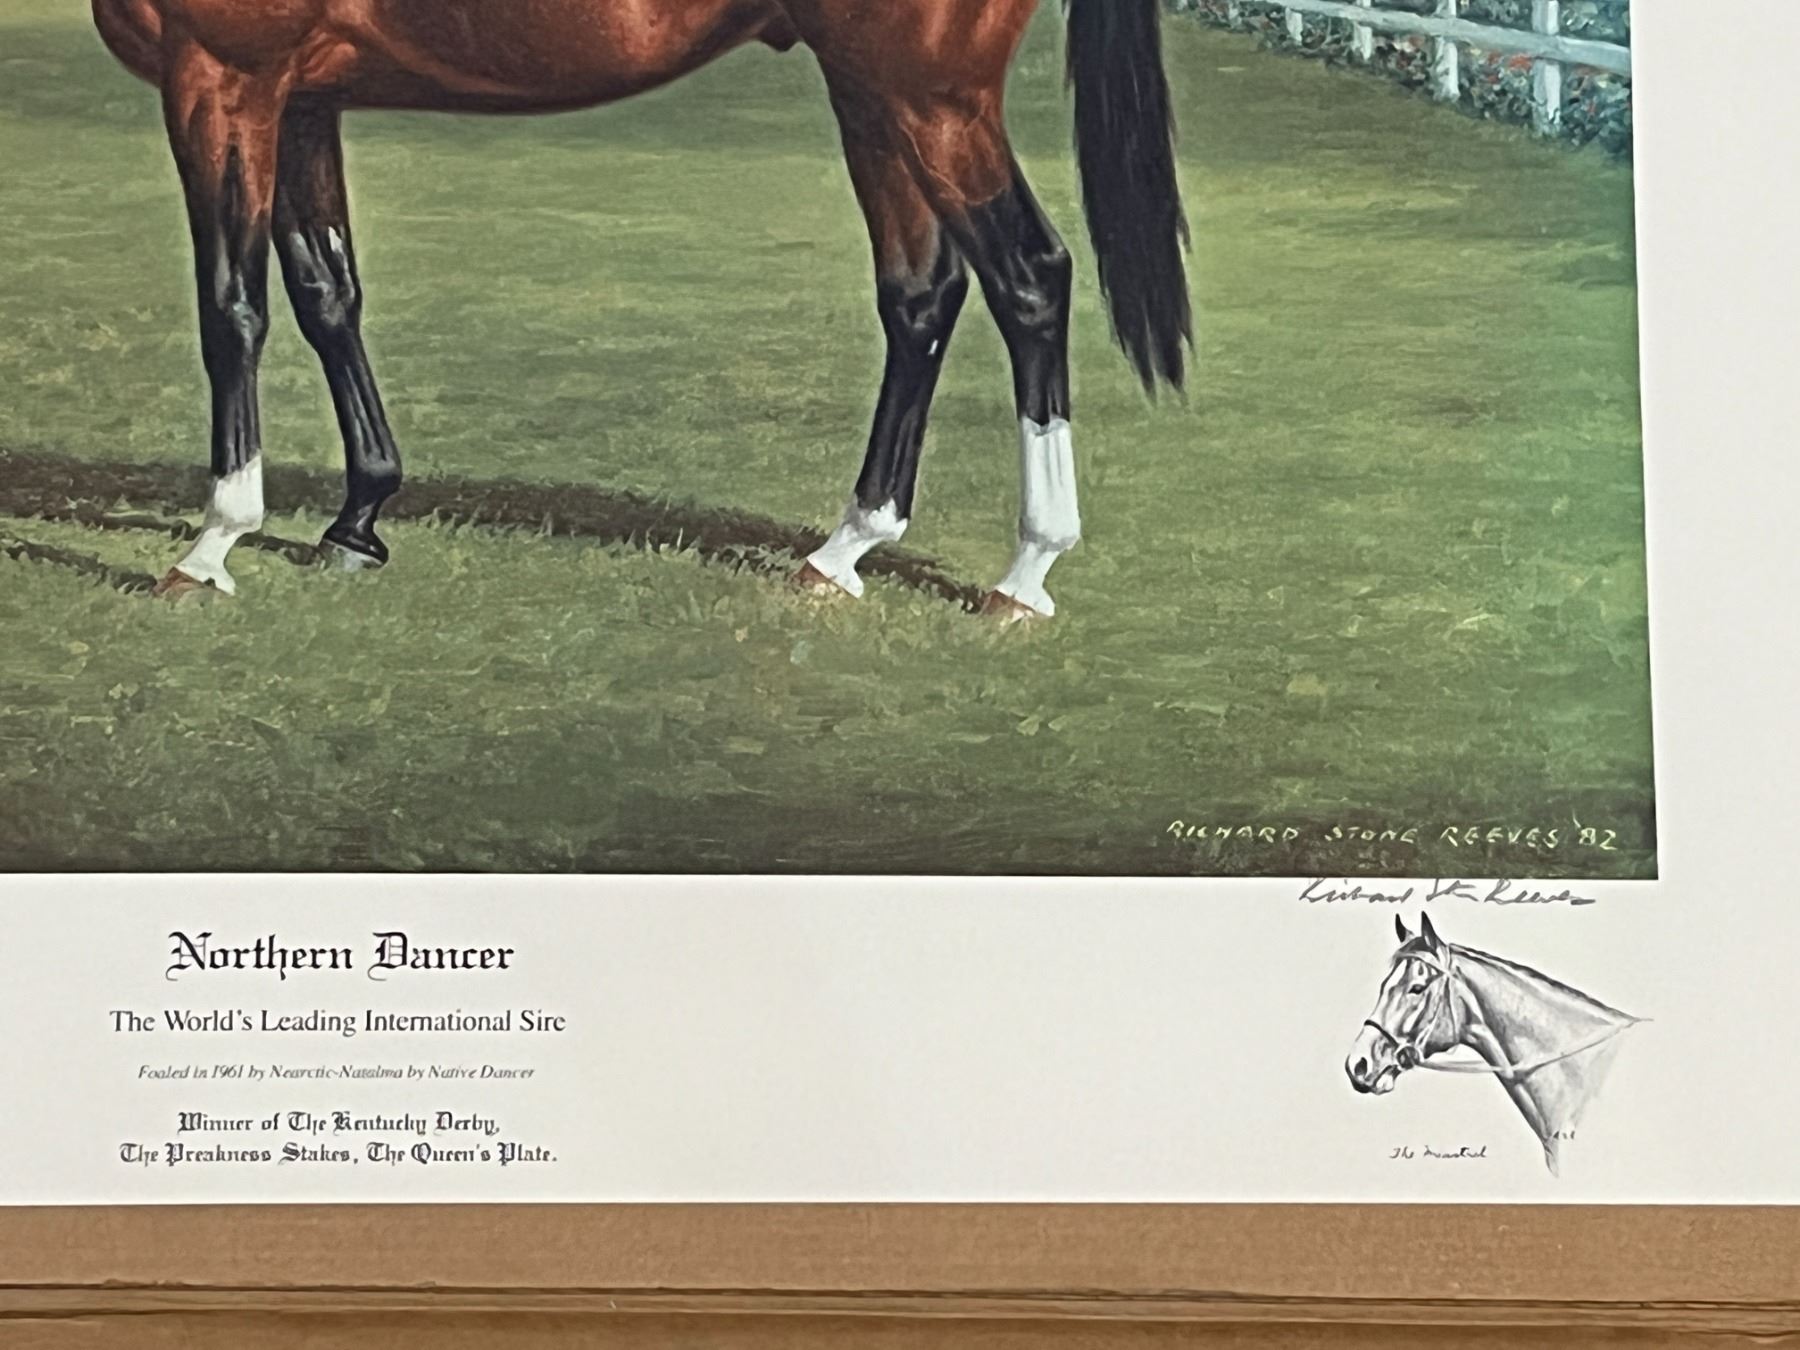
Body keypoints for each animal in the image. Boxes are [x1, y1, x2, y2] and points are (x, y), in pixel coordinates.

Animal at [90, 0, 1192, 618]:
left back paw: (1025, 572)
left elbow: (232, 310)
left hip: (931, 95)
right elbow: (328, 296)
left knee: (1030, 278)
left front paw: (212, 544)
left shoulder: (221, 79)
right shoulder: (302, 97)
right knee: (922, 296)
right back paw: (844, 550)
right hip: (873, 90)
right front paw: (359, 521)